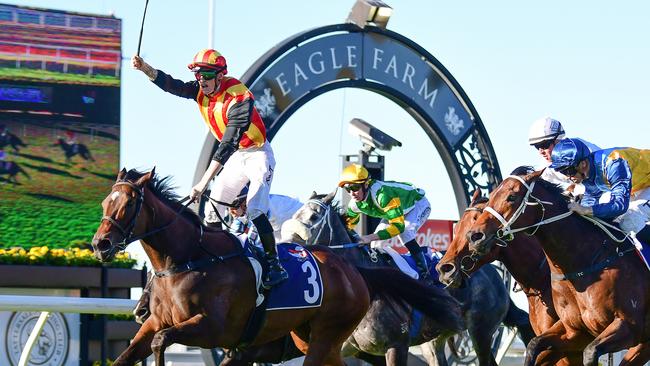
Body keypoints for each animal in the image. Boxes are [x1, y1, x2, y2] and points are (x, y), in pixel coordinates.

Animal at [91, 169, 450, 366]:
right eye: (105, 202)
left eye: (127, 204)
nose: (100, 244)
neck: (192, 258)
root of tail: (355, 273)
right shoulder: (161, 324)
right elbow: (131, 352)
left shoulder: (214, 329)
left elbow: (160, 342)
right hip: (320, 339)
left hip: (327, 337)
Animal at [458, 169, 648, 366]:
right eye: (492, 197)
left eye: (511, 197)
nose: (474, 236)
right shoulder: (574, 333)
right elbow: (534, 345)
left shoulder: (628, 326)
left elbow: (590, 352)